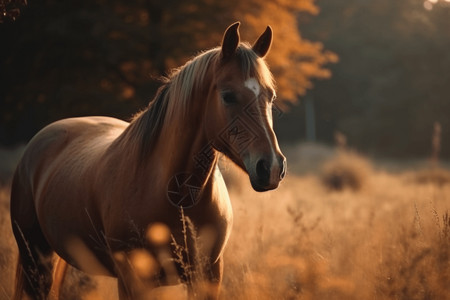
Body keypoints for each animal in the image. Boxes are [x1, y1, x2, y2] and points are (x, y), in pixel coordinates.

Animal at [10, 22, 286, 298]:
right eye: (228, 96)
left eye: (270, 96)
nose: (271, 167)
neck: (178, 195)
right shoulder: (133, 279)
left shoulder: (207, 275)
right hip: (37, 261)